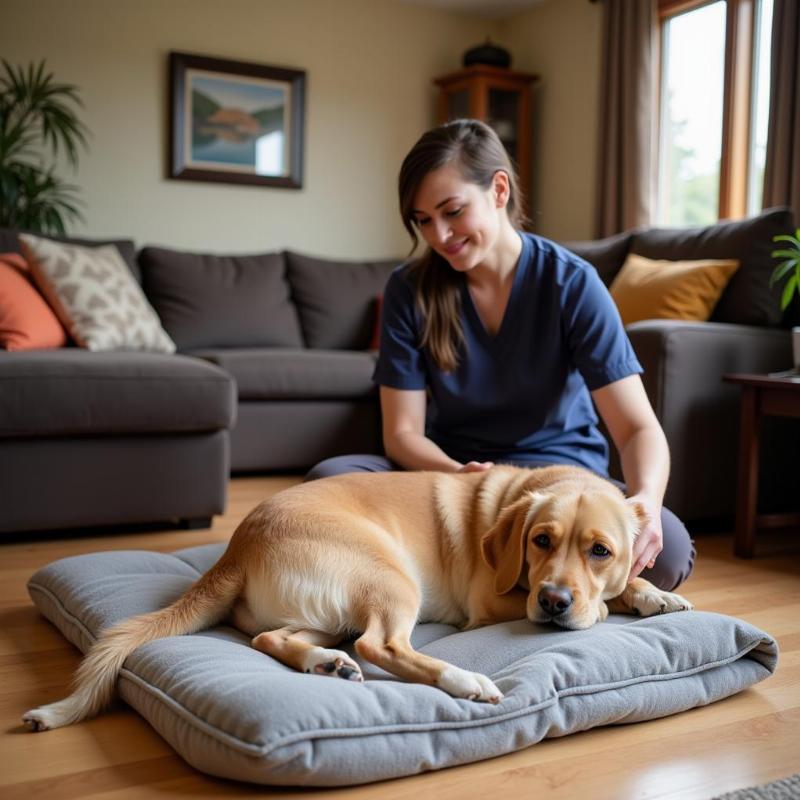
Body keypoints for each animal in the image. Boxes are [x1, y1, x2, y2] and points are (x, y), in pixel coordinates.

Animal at [21, 462, 692, 732]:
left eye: (600, 550)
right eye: (540, 541)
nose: (553, 602)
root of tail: (237, 544)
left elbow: (630, 584)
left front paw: (653, 595)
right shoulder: (492, 600)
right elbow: (595, 605)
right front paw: (614, 602)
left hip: (323, 615)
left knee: (272, 637)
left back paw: (327, 665)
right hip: (393, 580)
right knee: (383, 645)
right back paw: (463, 680)